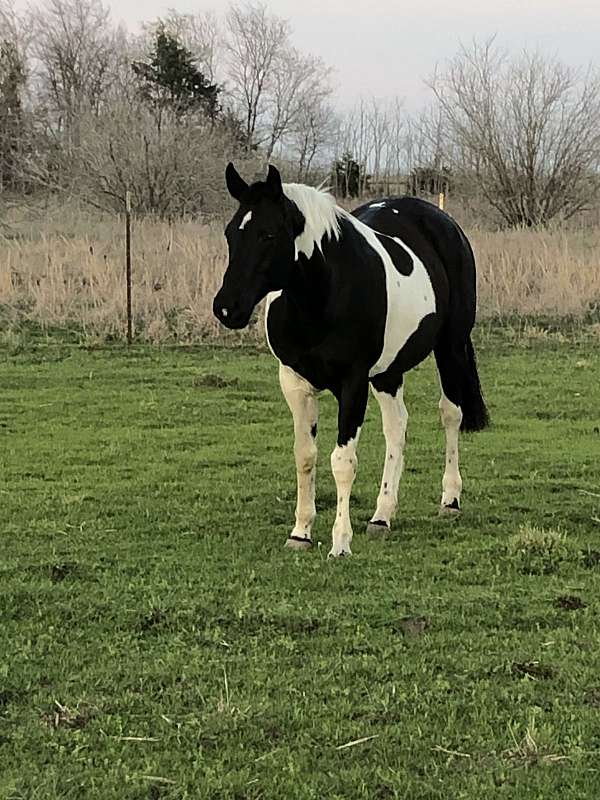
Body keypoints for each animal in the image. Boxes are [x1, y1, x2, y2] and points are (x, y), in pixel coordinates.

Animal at [213, 163, 489, 557]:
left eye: (267, 234)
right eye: (230, 233)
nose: (226, 308)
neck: (321, 296)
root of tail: (443, 222)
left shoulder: (352, 383)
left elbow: (343, 462)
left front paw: (340, 542)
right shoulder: (295, 383)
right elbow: (305, 455)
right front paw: (300, 532)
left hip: (449, 347)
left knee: (451, 414)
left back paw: (450, 499)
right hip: (388, 372)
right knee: (397, 426)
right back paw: (382, 515)